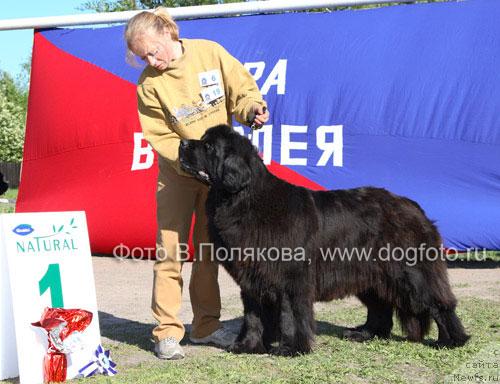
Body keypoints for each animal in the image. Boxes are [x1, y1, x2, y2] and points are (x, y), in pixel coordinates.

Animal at [179, 126, 468, 356]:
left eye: (208, 146)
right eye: (201, 140)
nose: (182, 143)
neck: (242, 198)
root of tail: (413, 206)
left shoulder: (291, 279)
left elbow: (291, 315)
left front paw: (291, 348)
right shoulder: (252, 280)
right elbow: (253, 316)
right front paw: (247, 346)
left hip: (412, 273)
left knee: (439, 303)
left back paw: (451, 340)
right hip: (369, 273)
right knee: (380, 307)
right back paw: (364, 333)